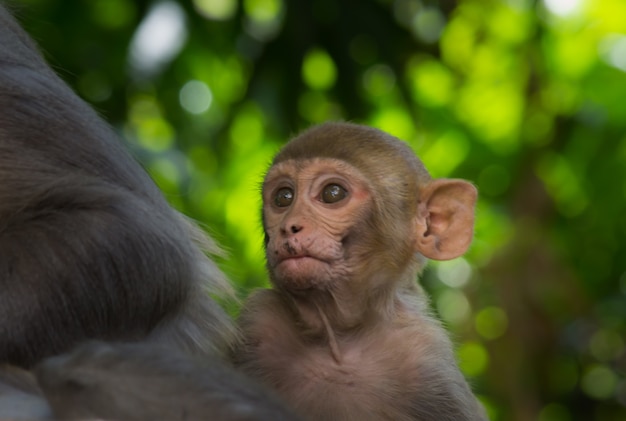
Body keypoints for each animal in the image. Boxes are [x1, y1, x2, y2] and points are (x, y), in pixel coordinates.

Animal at [232, 122, 486, 420]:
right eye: (283, 197)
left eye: (332, 193)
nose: (288, 226)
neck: (340, 342)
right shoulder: (260, 319)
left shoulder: (428, 359)